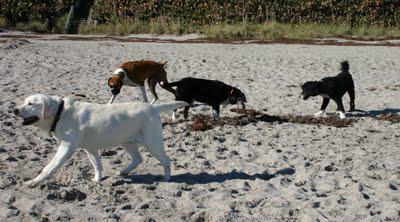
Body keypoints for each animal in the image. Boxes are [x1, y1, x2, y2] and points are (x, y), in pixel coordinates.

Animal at [14, 94, 188, 187]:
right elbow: (97, 164)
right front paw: (97, 179)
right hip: (127, 142)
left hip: (152, 142)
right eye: (24, 102)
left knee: (166, 160)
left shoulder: (66, 148)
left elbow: (49, 167)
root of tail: (152, 107)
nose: (15, 110)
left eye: (30, 104)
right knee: (138, 159)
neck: (60, 113)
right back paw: (124, 171)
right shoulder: (90, 148)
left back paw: (167, 178)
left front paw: (34, 182)